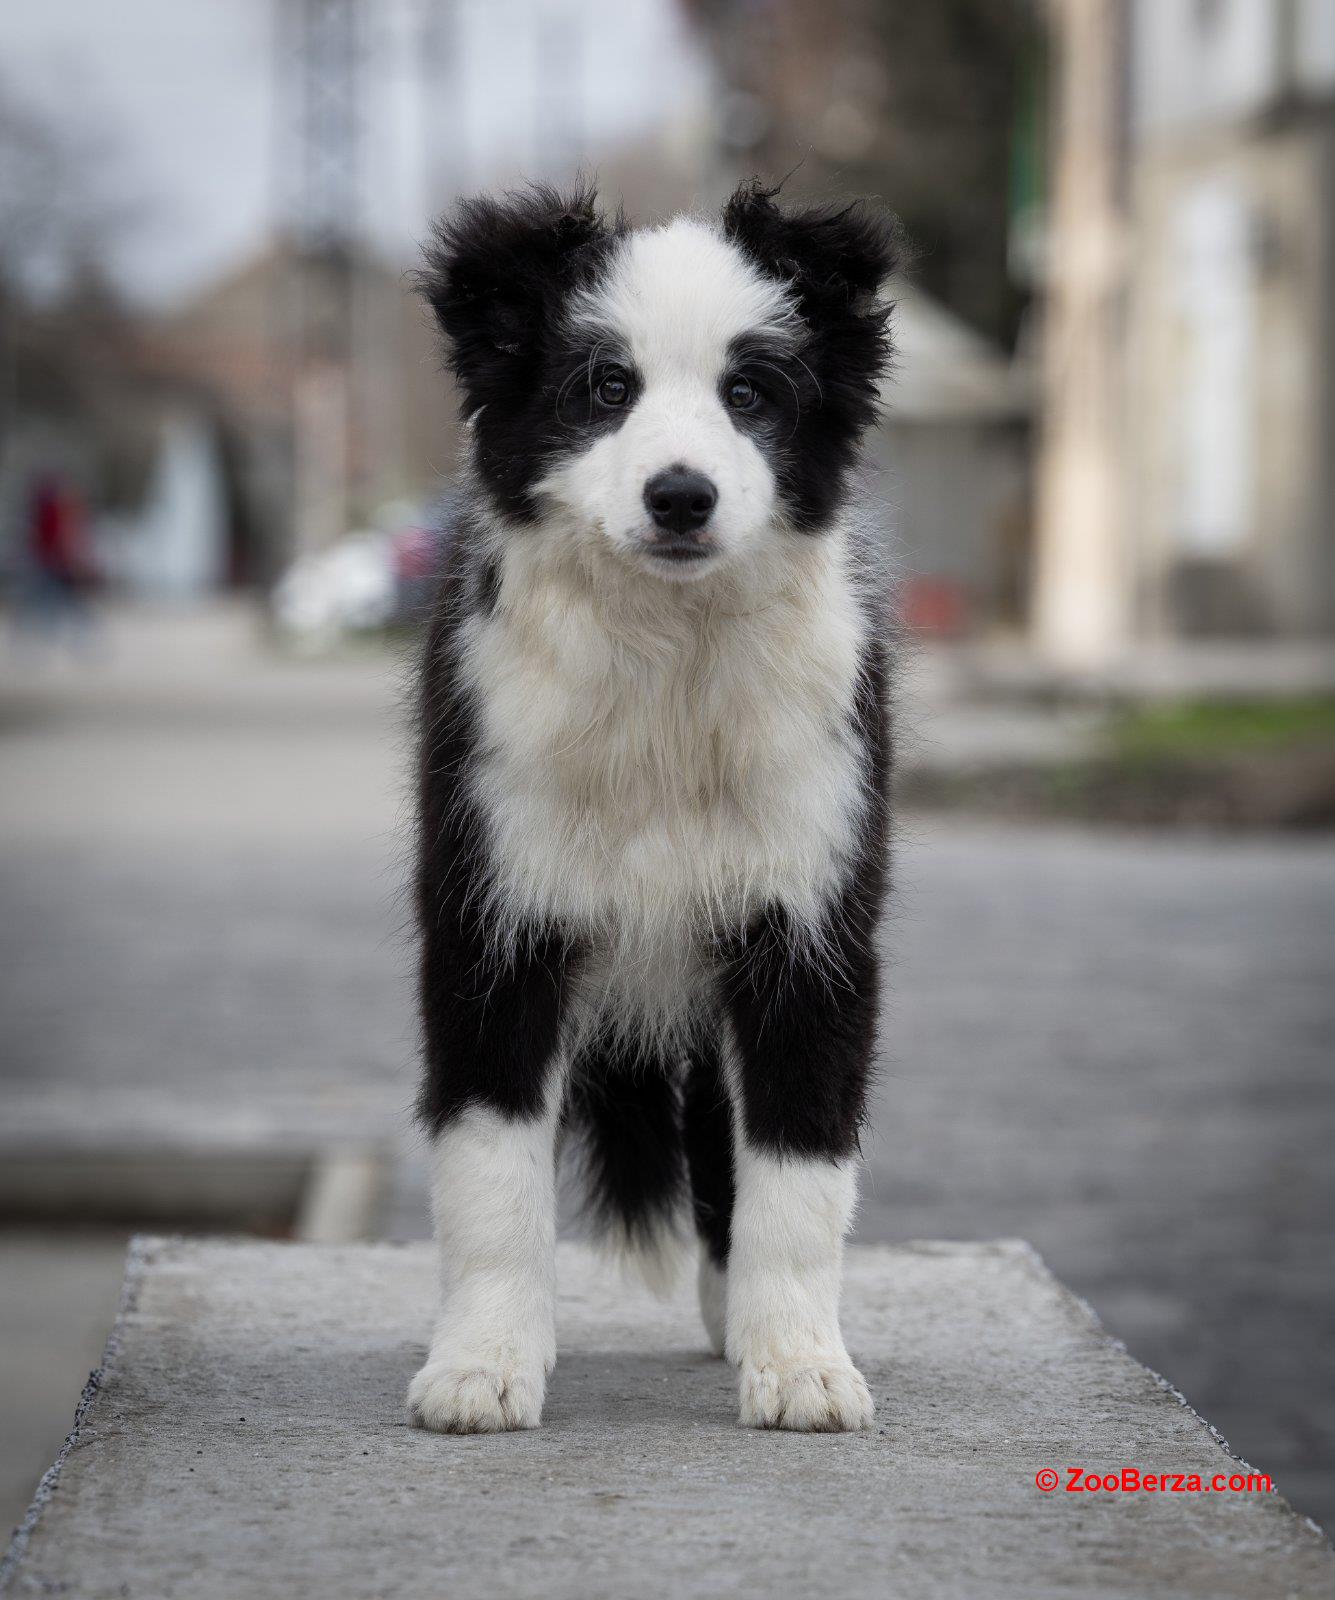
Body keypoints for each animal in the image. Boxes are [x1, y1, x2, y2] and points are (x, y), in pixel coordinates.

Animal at [406, 178, 896, 1440]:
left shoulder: (809, 920)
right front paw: (482, 1364)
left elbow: (799, 1165)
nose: (681, 494)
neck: (667, 666)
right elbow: (490, 1163)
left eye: (749, 394)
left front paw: (801, 1366)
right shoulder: (493, 911)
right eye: (605, 388)